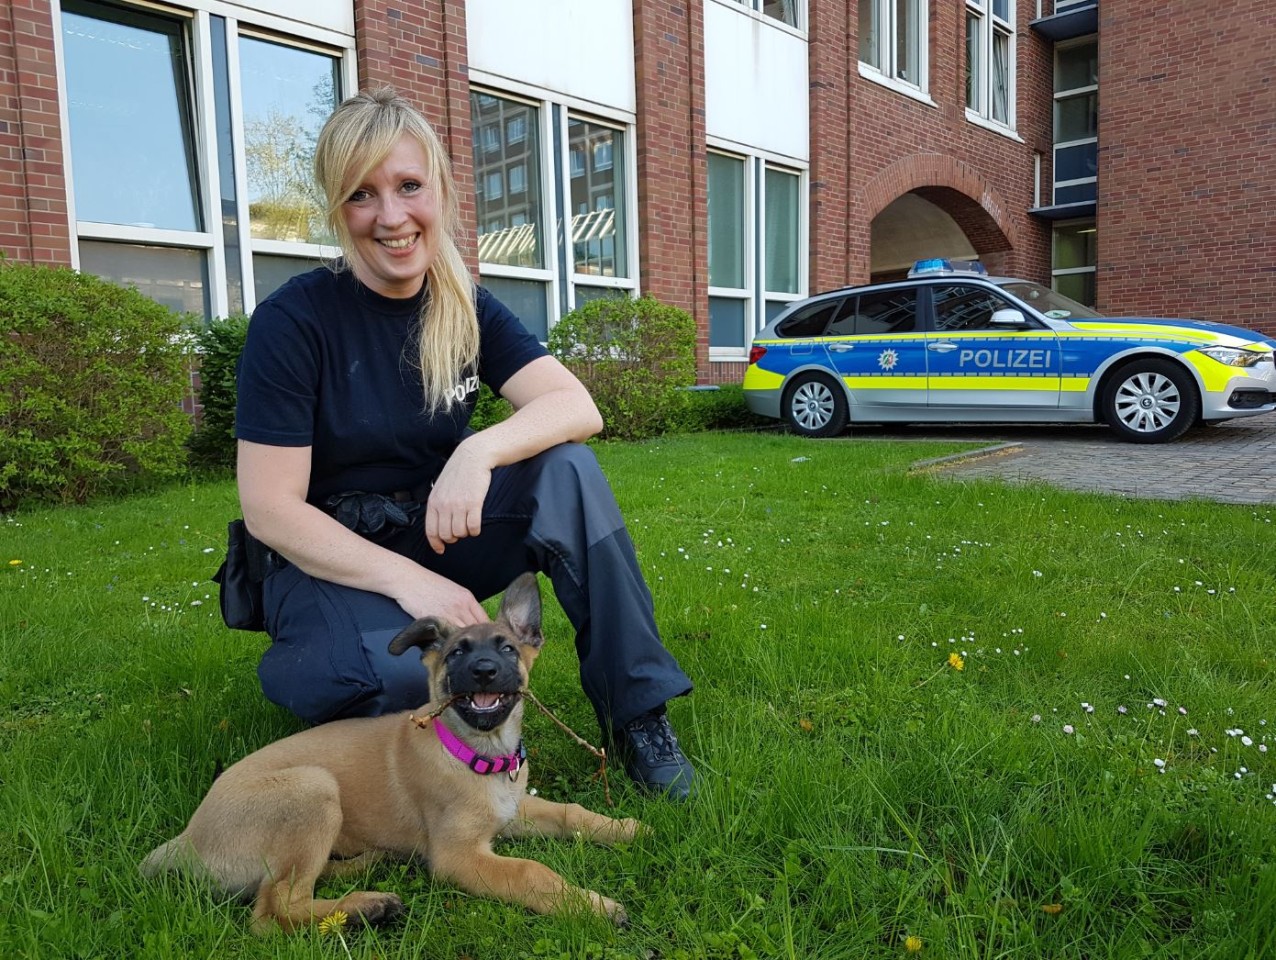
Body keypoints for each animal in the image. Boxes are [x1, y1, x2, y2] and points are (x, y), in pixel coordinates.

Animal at [140, 574, 643, 934]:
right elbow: (529, 872)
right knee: (273, 911)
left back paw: (368, 867)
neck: (474, 753)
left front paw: (622, 827)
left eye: (506, 648)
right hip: (312, 787)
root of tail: (186, 839)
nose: (483, 671)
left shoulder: (511, 811)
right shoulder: (457, 856)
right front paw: (591, 906)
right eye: (456, 653)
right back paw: (367, 907)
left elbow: (568, 812)